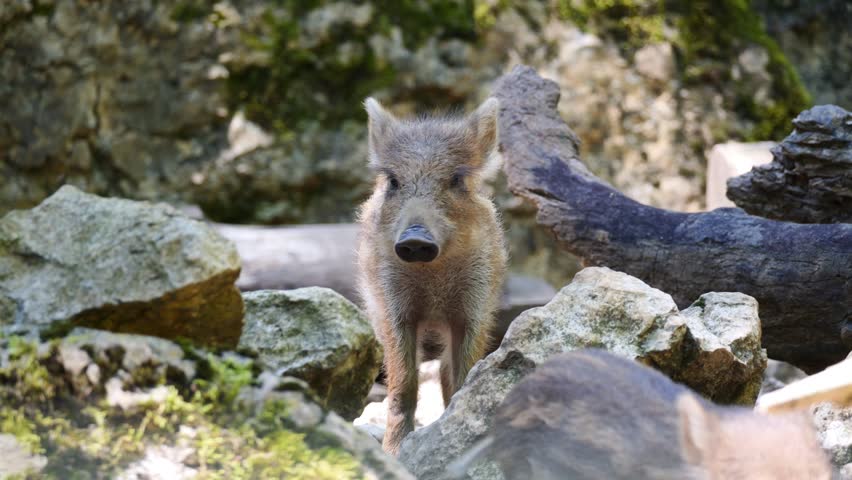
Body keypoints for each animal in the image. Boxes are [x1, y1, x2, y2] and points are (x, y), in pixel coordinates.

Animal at [357, 96, 507, 455]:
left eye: (456, 179)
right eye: (394, 181)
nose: (415, 239)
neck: (434, 278)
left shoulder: (475, 307)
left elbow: (464, 374)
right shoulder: (392, 307)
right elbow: (403, 382)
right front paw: (394, 453)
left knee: (443, 368)